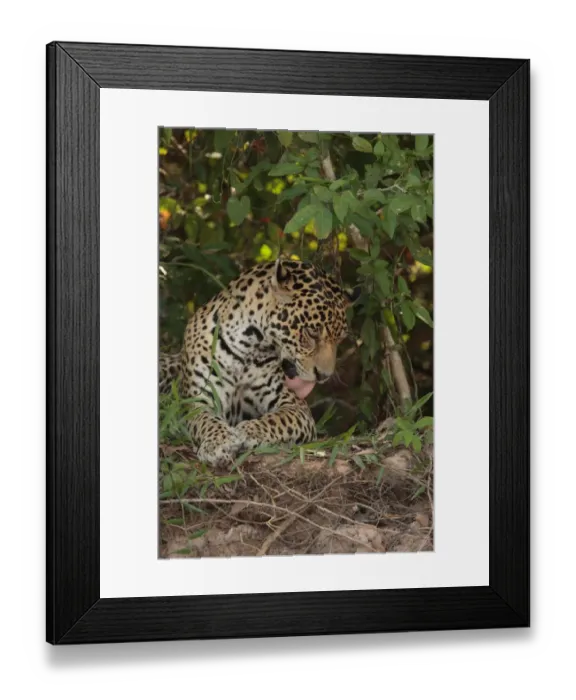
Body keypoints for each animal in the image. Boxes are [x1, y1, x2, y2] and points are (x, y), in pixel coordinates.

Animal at [159, 257, 358, 467]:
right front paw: (217, 442)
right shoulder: (197, 400)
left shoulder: (296, 407)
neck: (249, 345)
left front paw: (247, 431)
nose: (324, 376)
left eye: (340, 339)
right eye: (312, 333)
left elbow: (277, 420)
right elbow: (205, 420)